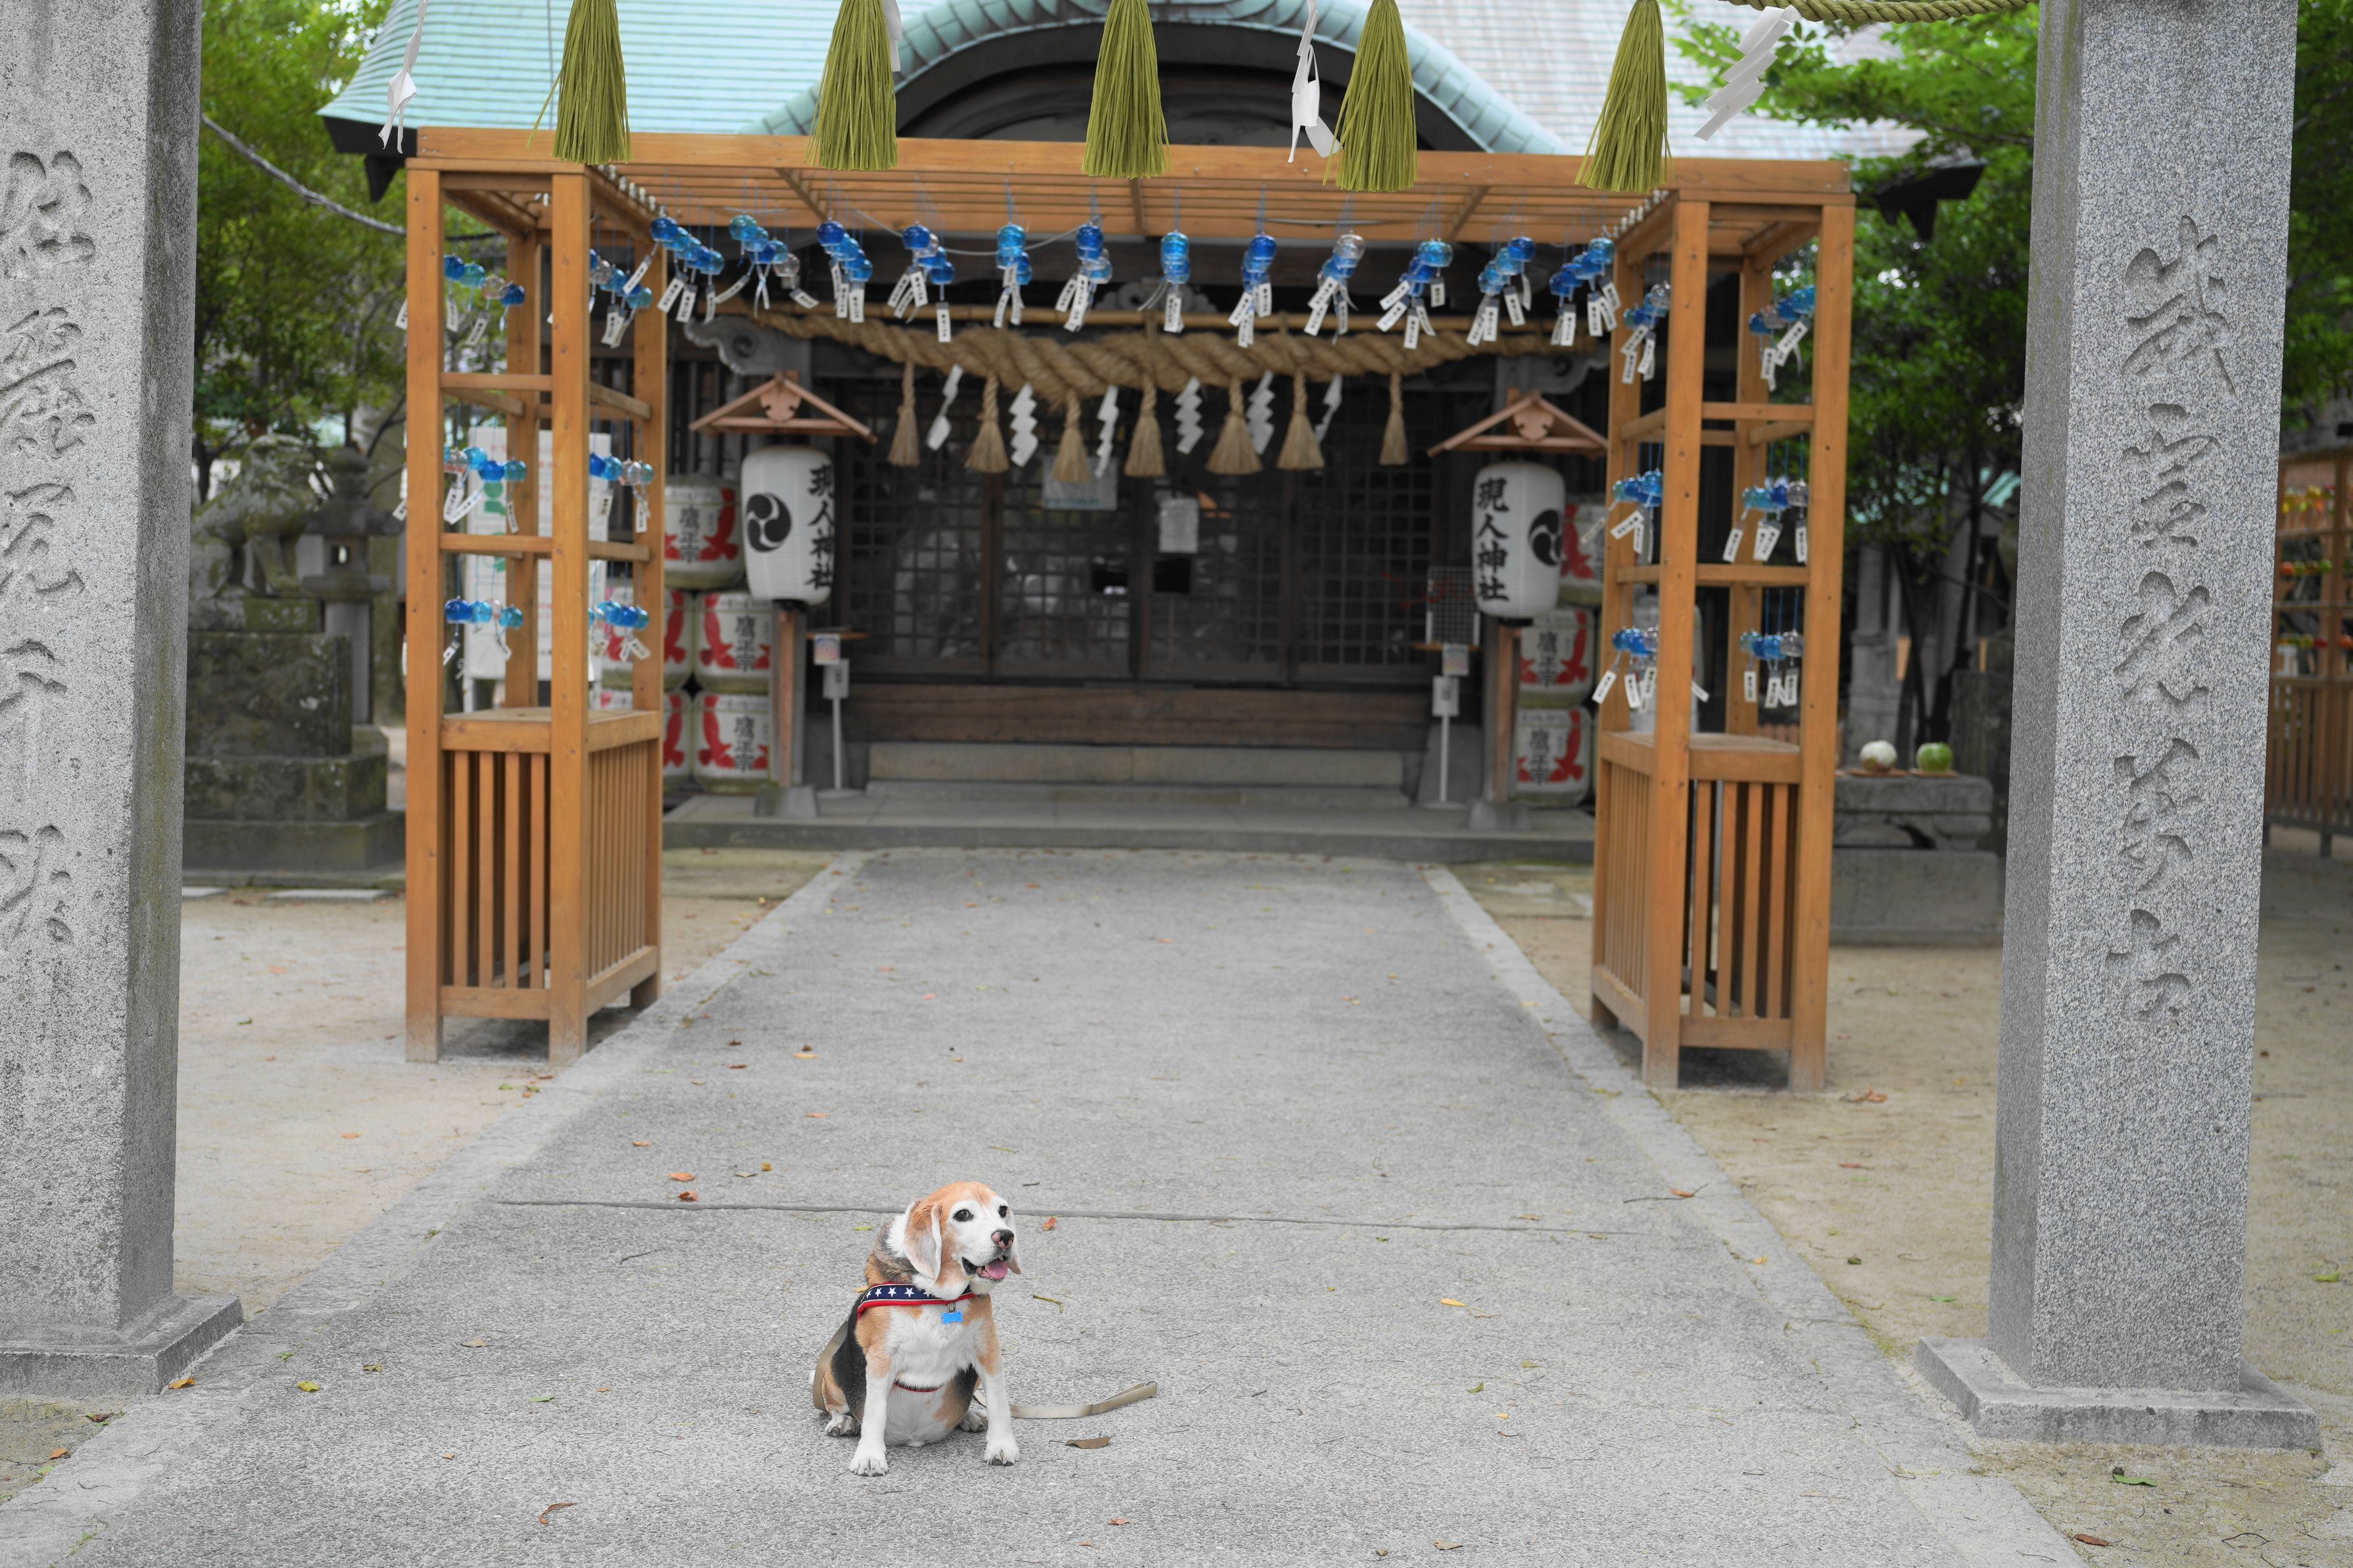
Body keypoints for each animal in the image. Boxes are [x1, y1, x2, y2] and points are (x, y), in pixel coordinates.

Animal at [811, 1181, 1021, 1475]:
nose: (1006, 1236)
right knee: (838, 1407)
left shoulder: (988, 1352)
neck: (938, 1297)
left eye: (1002, 1210)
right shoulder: (881, 1359)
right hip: (831, 1374)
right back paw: (844, 1422)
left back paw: (969, 1416)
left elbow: (999, 1403)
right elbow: (874, 1413)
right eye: (963, 1215)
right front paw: (870, 1456)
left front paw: (1001, 1446)